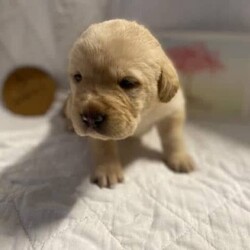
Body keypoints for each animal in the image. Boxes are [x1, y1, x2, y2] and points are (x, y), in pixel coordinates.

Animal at [64, 19, 193, 188]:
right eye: (78, 77)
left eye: (128, 83)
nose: (90, 118)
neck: (142, 114)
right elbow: (103, 146)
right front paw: (107, 169)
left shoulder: (172, 110)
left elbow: (174, 137)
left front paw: (180, 157)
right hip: (70, 103)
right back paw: (70, 124)